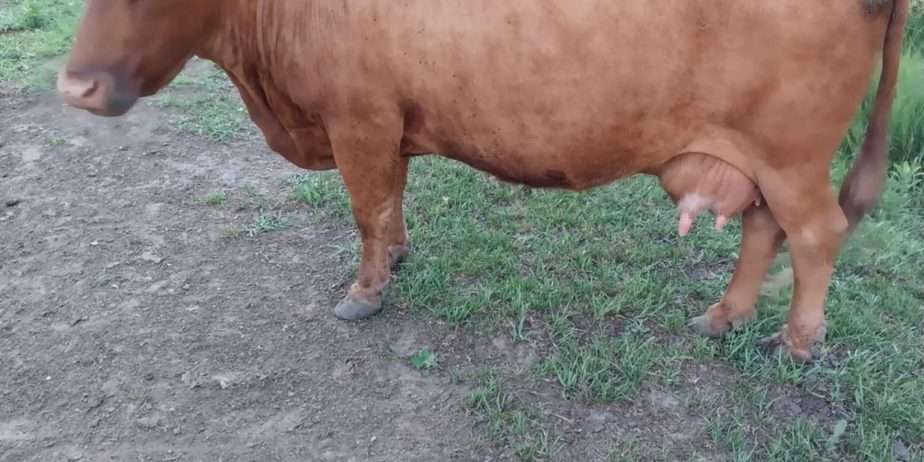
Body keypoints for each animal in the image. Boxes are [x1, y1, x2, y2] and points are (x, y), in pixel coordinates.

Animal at [57, 0, 908, 362]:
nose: (73, 88)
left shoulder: (358, 118)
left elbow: (365, 208)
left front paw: (365, 293)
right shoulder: (387, 122)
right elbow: (391, 199)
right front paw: (398, 258)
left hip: (790, 155)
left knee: (816, 234)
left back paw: (796, 342)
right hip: (764, 161)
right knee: (766, 229)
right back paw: (723, 316)